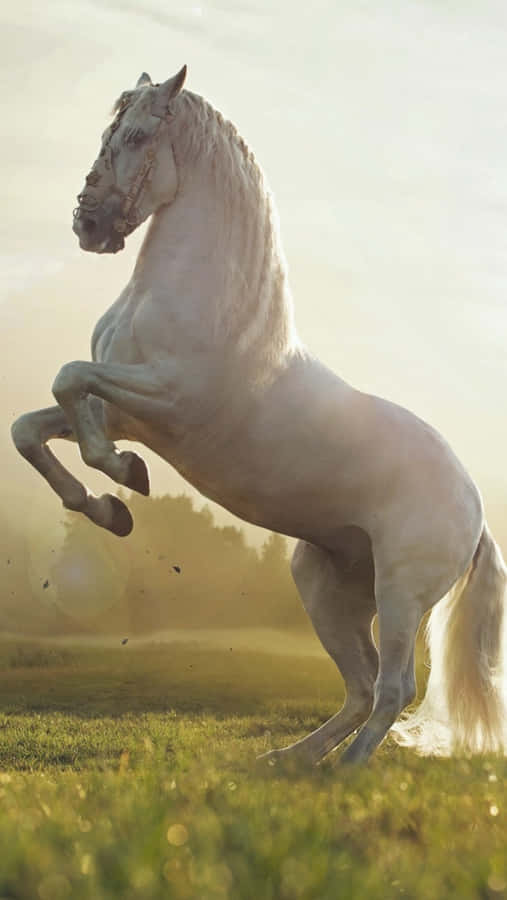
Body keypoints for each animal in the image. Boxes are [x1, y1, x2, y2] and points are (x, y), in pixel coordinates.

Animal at [12, 67, 507, 764]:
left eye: (134, 136)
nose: (88, 224)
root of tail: (476, 510)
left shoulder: (166, 399)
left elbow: (68, 382)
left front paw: (123, 478)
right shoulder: (123, 412)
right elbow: (33, 426)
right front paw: (108, 508)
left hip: (401, 592)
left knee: (393, 688)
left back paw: (343, 772)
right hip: (326, 585)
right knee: (360, 686)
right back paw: (288, 762)